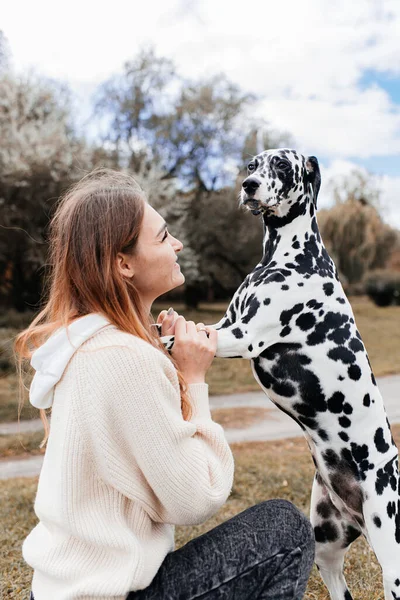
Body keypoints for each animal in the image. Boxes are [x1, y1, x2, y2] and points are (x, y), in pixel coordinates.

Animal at [162, 149, 400, 600]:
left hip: (392, 554)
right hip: (325, 548)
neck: (287, 254)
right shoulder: (226, 323)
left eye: (284, 166)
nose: (249, 185)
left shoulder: (241, 335)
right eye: (252, 164)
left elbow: (165, 339)